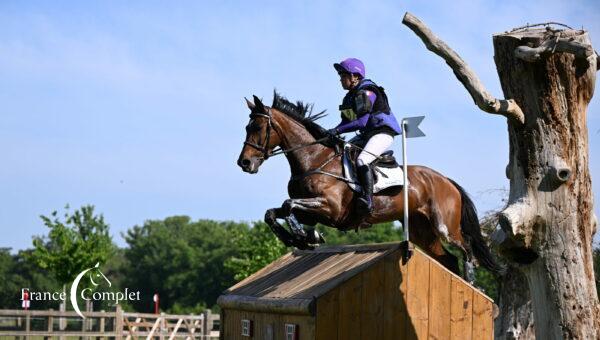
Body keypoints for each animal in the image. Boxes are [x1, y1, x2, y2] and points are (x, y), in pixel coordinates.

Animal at [237, 91, 504, 278]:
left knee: (468, 251)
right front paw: (300, 238)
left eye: (257, 127)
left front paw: (305, 237)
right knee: (448, 260)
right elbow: (273, 213)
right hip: (421, 231)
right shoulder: (311, 210)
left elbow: (288, 204)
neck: (315, 159)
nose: (244, 163)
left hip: (445, 227)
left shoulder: (331, 209)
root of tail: (447, 181)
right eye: (246, 127)